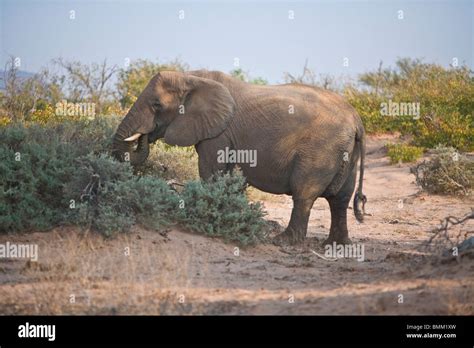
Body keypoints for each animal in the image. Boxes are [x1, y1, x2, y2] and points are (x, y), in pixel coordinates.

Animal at [111, 70, 366, 245]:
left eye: (156, 105)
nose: (145, 135)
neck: (192, 77)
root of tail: (357, 120)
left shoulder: (218, 133)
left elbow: (211, 172)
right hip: (346, 152)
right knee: (340, 198)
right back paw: (335, 245)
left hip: (321, 149)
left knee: (304, 193)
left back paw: (284, 242)